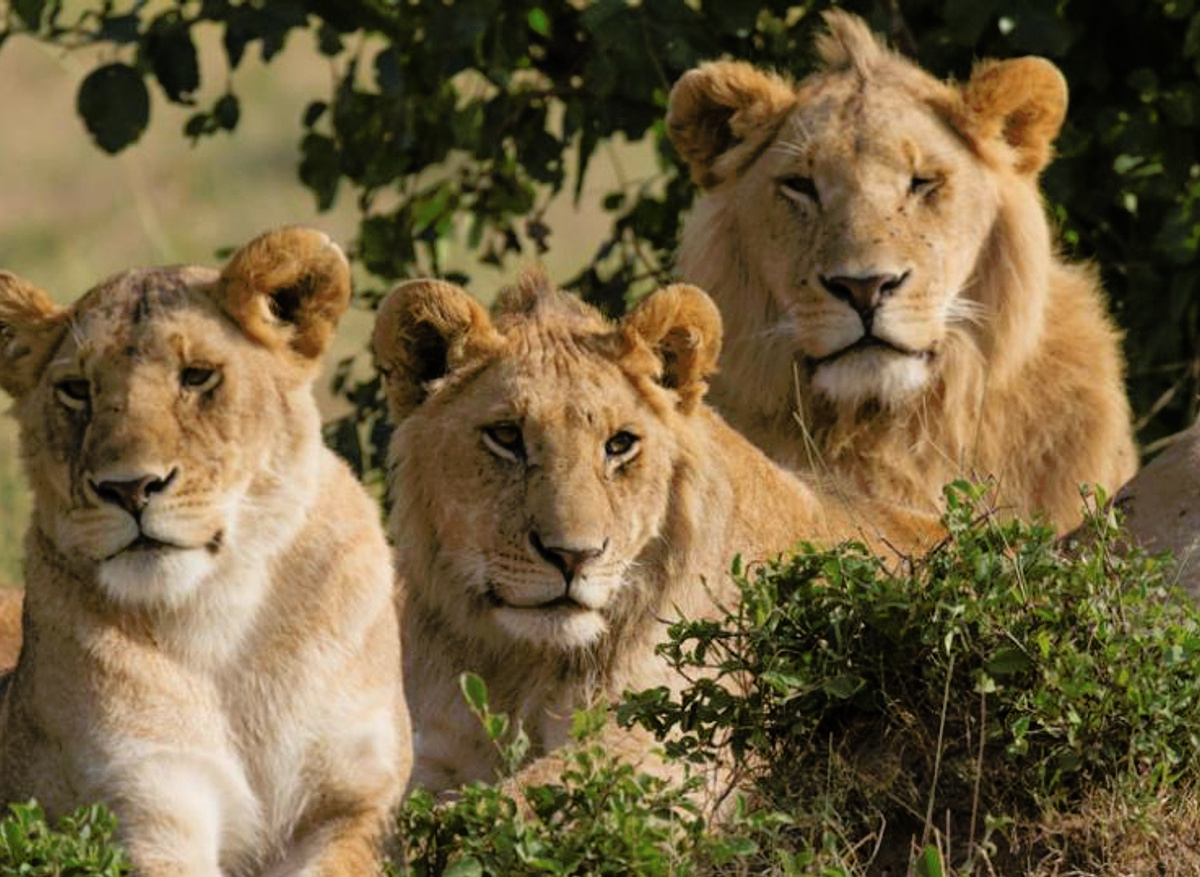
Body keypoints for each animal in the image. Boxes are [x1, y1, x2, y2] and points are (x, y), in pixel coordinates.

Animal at [0, 227, 410, 875]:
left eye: (196, 376)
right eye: (76, 391)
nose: (129, 488)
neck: (223, 617)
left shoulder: (354, 803)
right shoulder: (144, 800)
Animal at [372, 270, 938, 797]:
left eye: (620, 444)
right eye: (506, 437)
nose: (572, 557)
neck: (523, 666)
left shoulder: (674, 739)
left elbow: (509, 805)